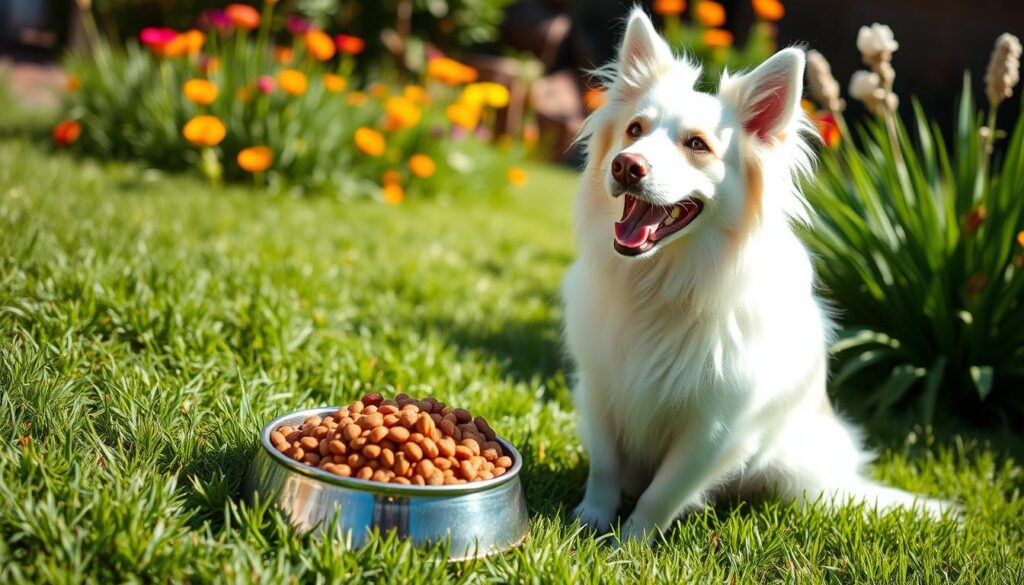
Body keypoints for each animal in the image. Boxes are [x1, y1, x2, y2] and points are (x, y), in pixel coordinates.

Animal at [565, 9, 946, 540]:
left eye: (697, 145)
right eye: (634, 130)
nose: (625, 165)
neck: (663, 283)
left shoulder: (715, 431)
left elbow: (663, 493)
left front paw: (629, 542)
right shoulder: (599, 388)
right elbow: (604, 467)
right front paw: (590, 521)